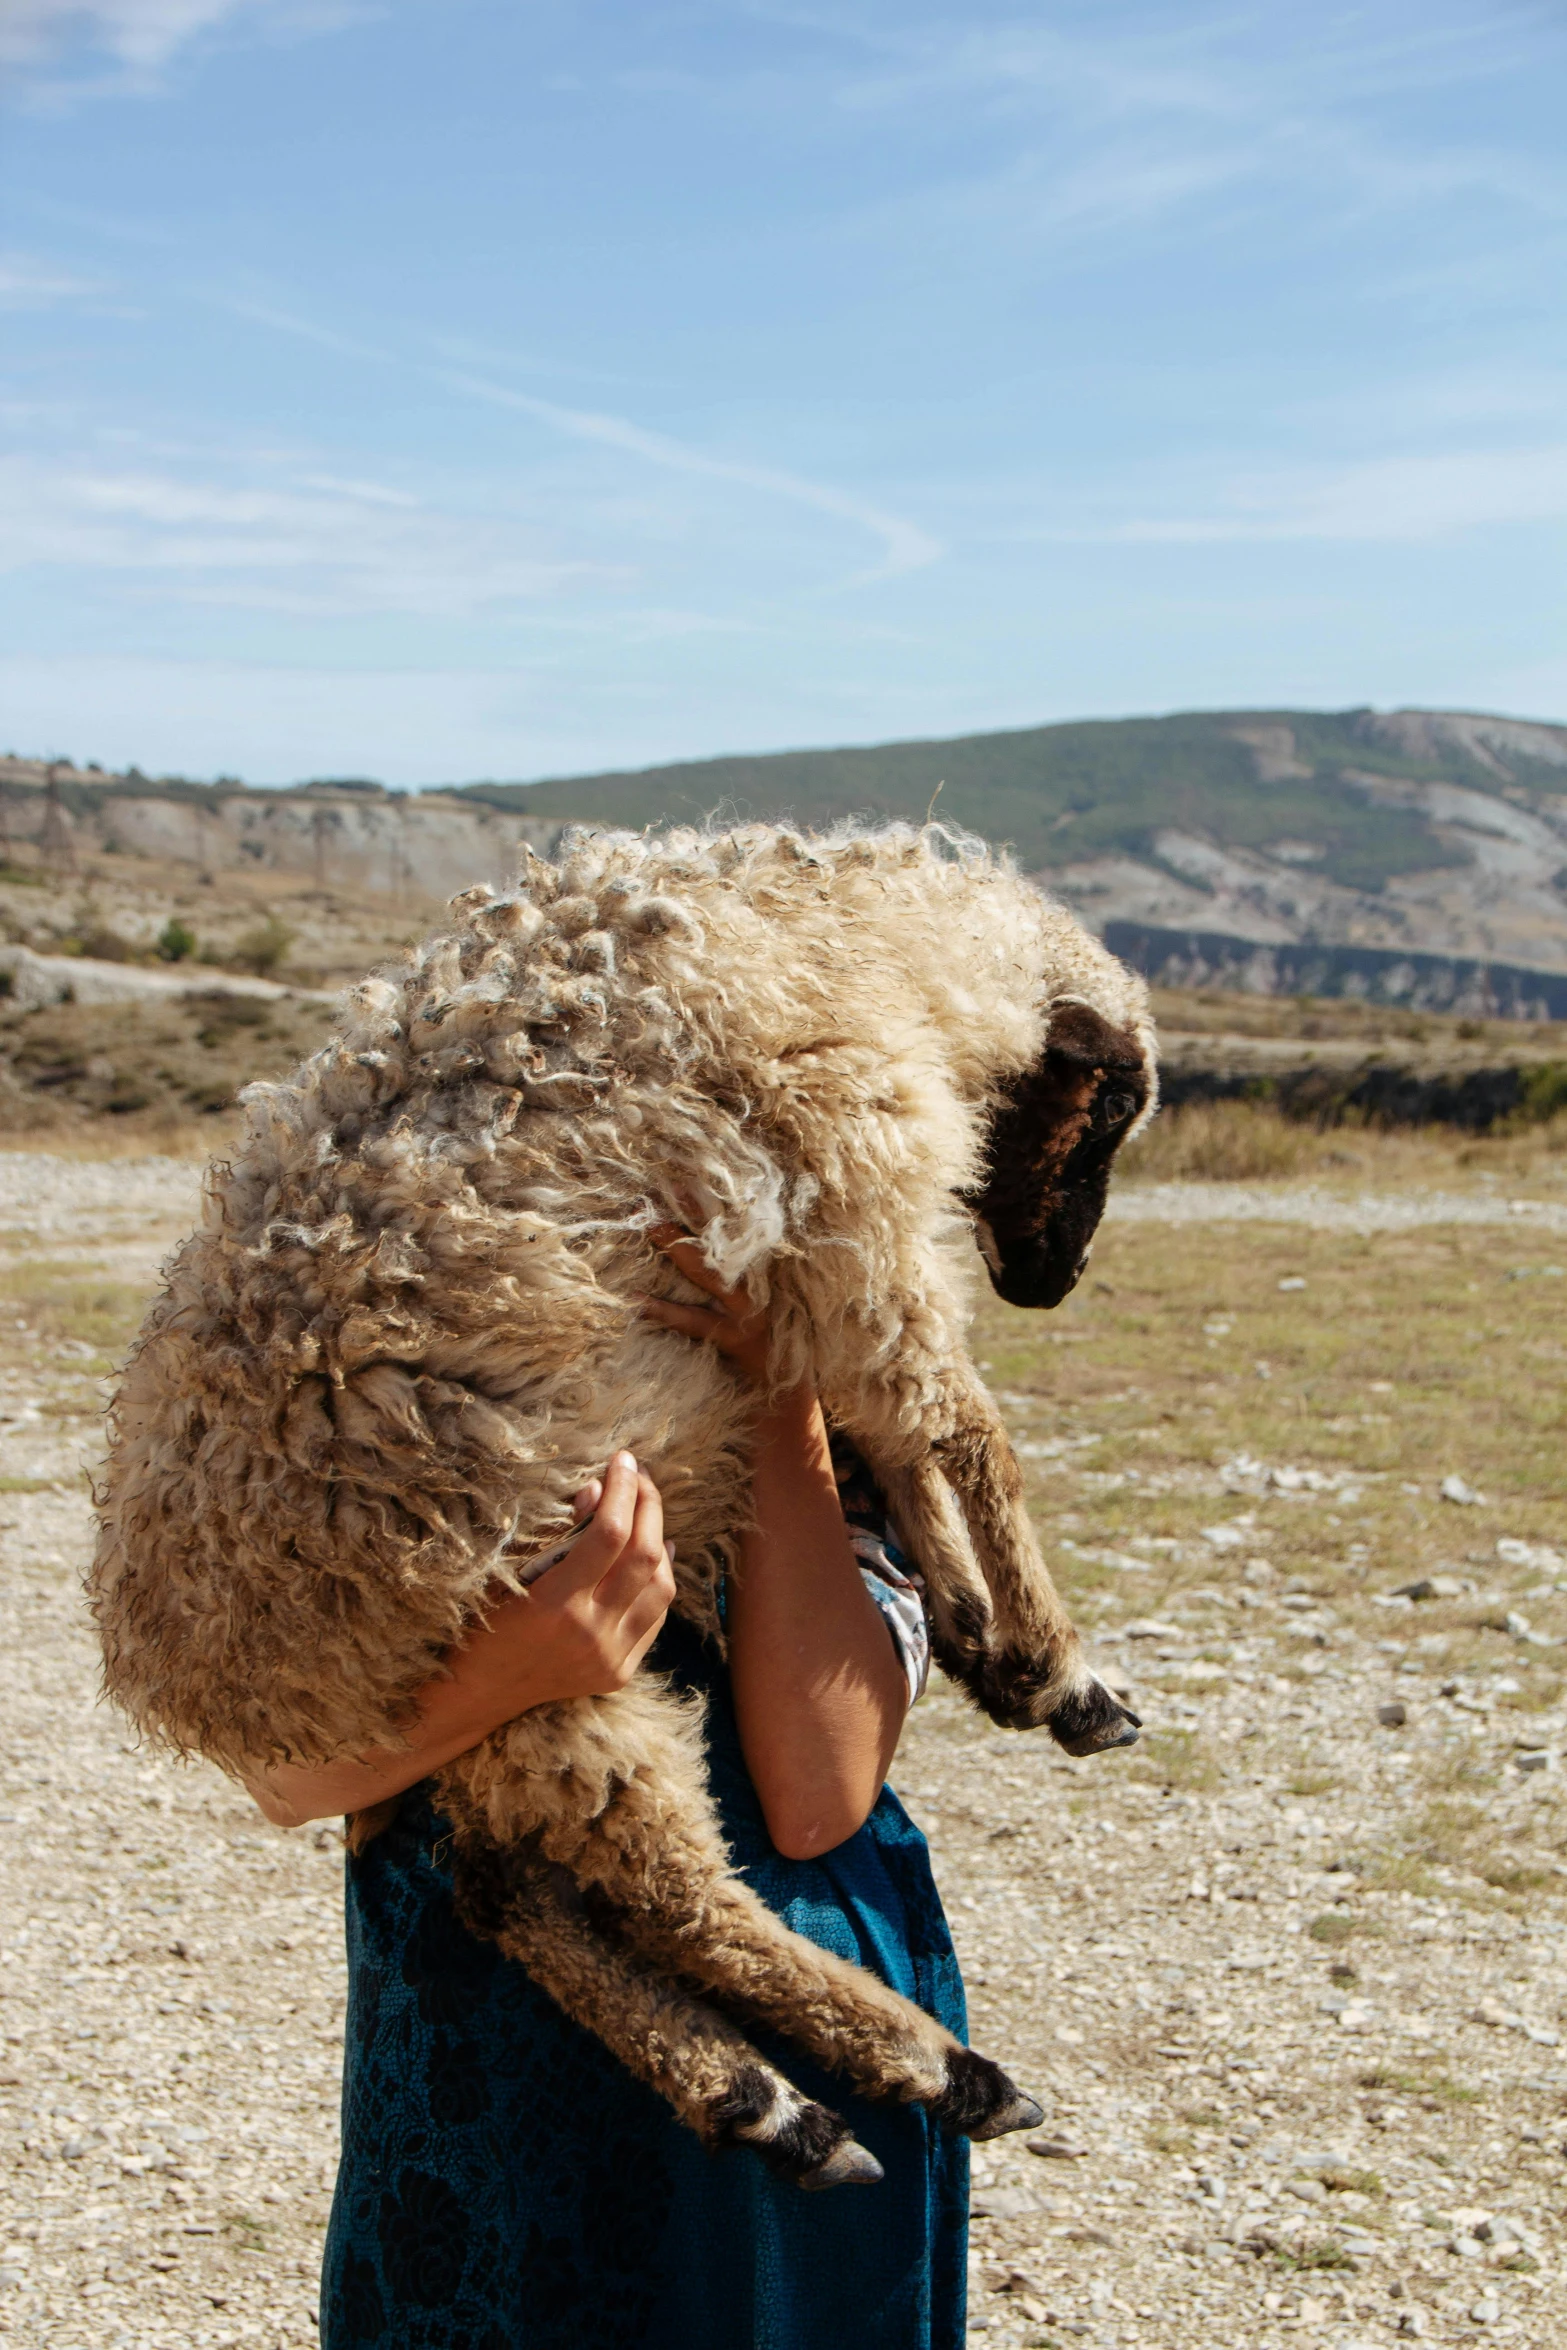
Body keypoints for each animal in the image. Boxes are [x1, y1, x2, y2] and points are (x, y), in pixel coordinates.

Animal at [92, 817, 1160, 2190]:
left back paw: (761, 2099)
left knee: (505, 1892)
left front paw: (987, 1643)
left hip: (497, 1691)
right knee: (657, 1886)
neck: (880, 943)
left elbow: (893, 1442)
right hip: (525, 1640)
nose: (1050, 1282)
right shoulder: (852, 1193)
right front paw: (1062, 1668)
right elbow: (961, 1428)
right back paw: (917, 2067)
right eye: (1112, 1113)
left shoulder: (817, 1263)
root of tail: (180, 1677)